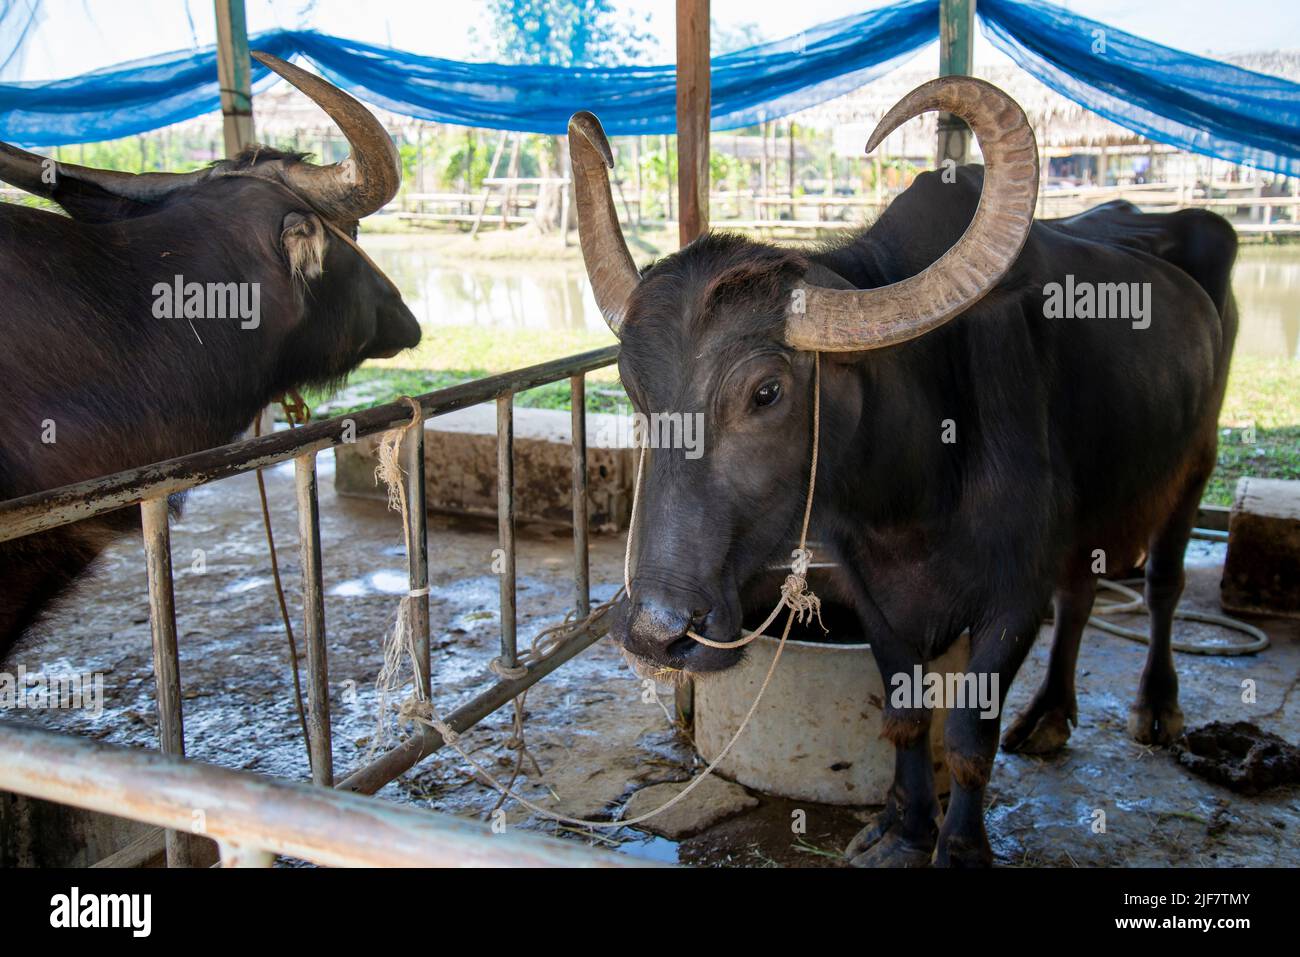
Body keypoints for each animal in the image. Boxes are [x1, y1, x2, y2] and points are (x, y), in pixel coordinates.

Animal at [569, 78, 1237, 867]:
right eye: (634, 388)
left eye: (766, 392)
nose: (655, 631)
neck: (917, 491)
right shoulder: (870, 590)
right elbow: (905, 709)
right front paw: (905, 826)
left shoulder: (1014, 594)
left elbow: (971, 736)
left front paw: (959, 847)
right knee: (1081, 592)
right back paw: (1049, 714)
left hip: (1197, 463)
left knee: (1162, 583)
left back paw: (1157, 707)